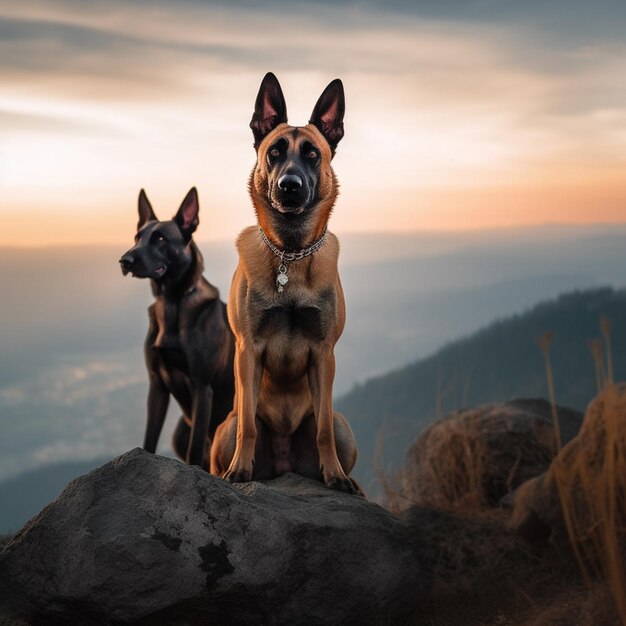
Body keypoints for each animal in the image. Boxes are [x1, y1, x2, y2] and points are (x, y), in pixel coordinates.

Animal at [118, 188, 233, 466]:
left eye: (160, 238)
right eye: (137, 237)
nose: (124, 261)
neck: (172, 303)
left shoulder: (202, 388)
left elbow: (195, 451)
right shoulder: (157, 385)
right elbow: (149, 440)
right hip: (179, 433)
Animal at [210, 73, 358, 492]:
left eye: (312, 154)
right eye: (274, 152)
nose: (289, 185)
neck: (289, 254)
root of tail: (283, 465)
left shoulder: (324, 354)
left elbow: (322, 429)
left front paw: (334, 475)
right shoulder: (248, 350)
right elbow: (249, 426)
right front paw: (240, 471)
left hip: (345, 427)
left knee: (331, 427)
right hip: (222, 432)